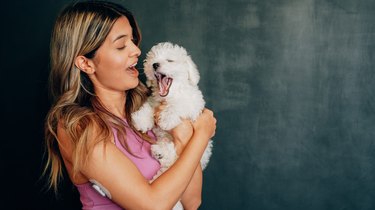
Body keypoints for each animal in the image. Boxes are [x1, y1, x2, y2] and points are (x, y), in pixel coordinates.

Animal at [132, 41, 214, 183]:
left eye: (170, 60)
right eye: (152, 59)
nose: (155, 65)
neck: (170, 95)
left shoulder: (194, 103)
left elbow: (178, 105)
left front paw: (166, 119)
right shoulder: (155, 101)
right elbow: (149, 105)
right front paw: (141, 120)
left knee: (174, 155)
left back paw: (161, 152)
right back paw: (159, 152)